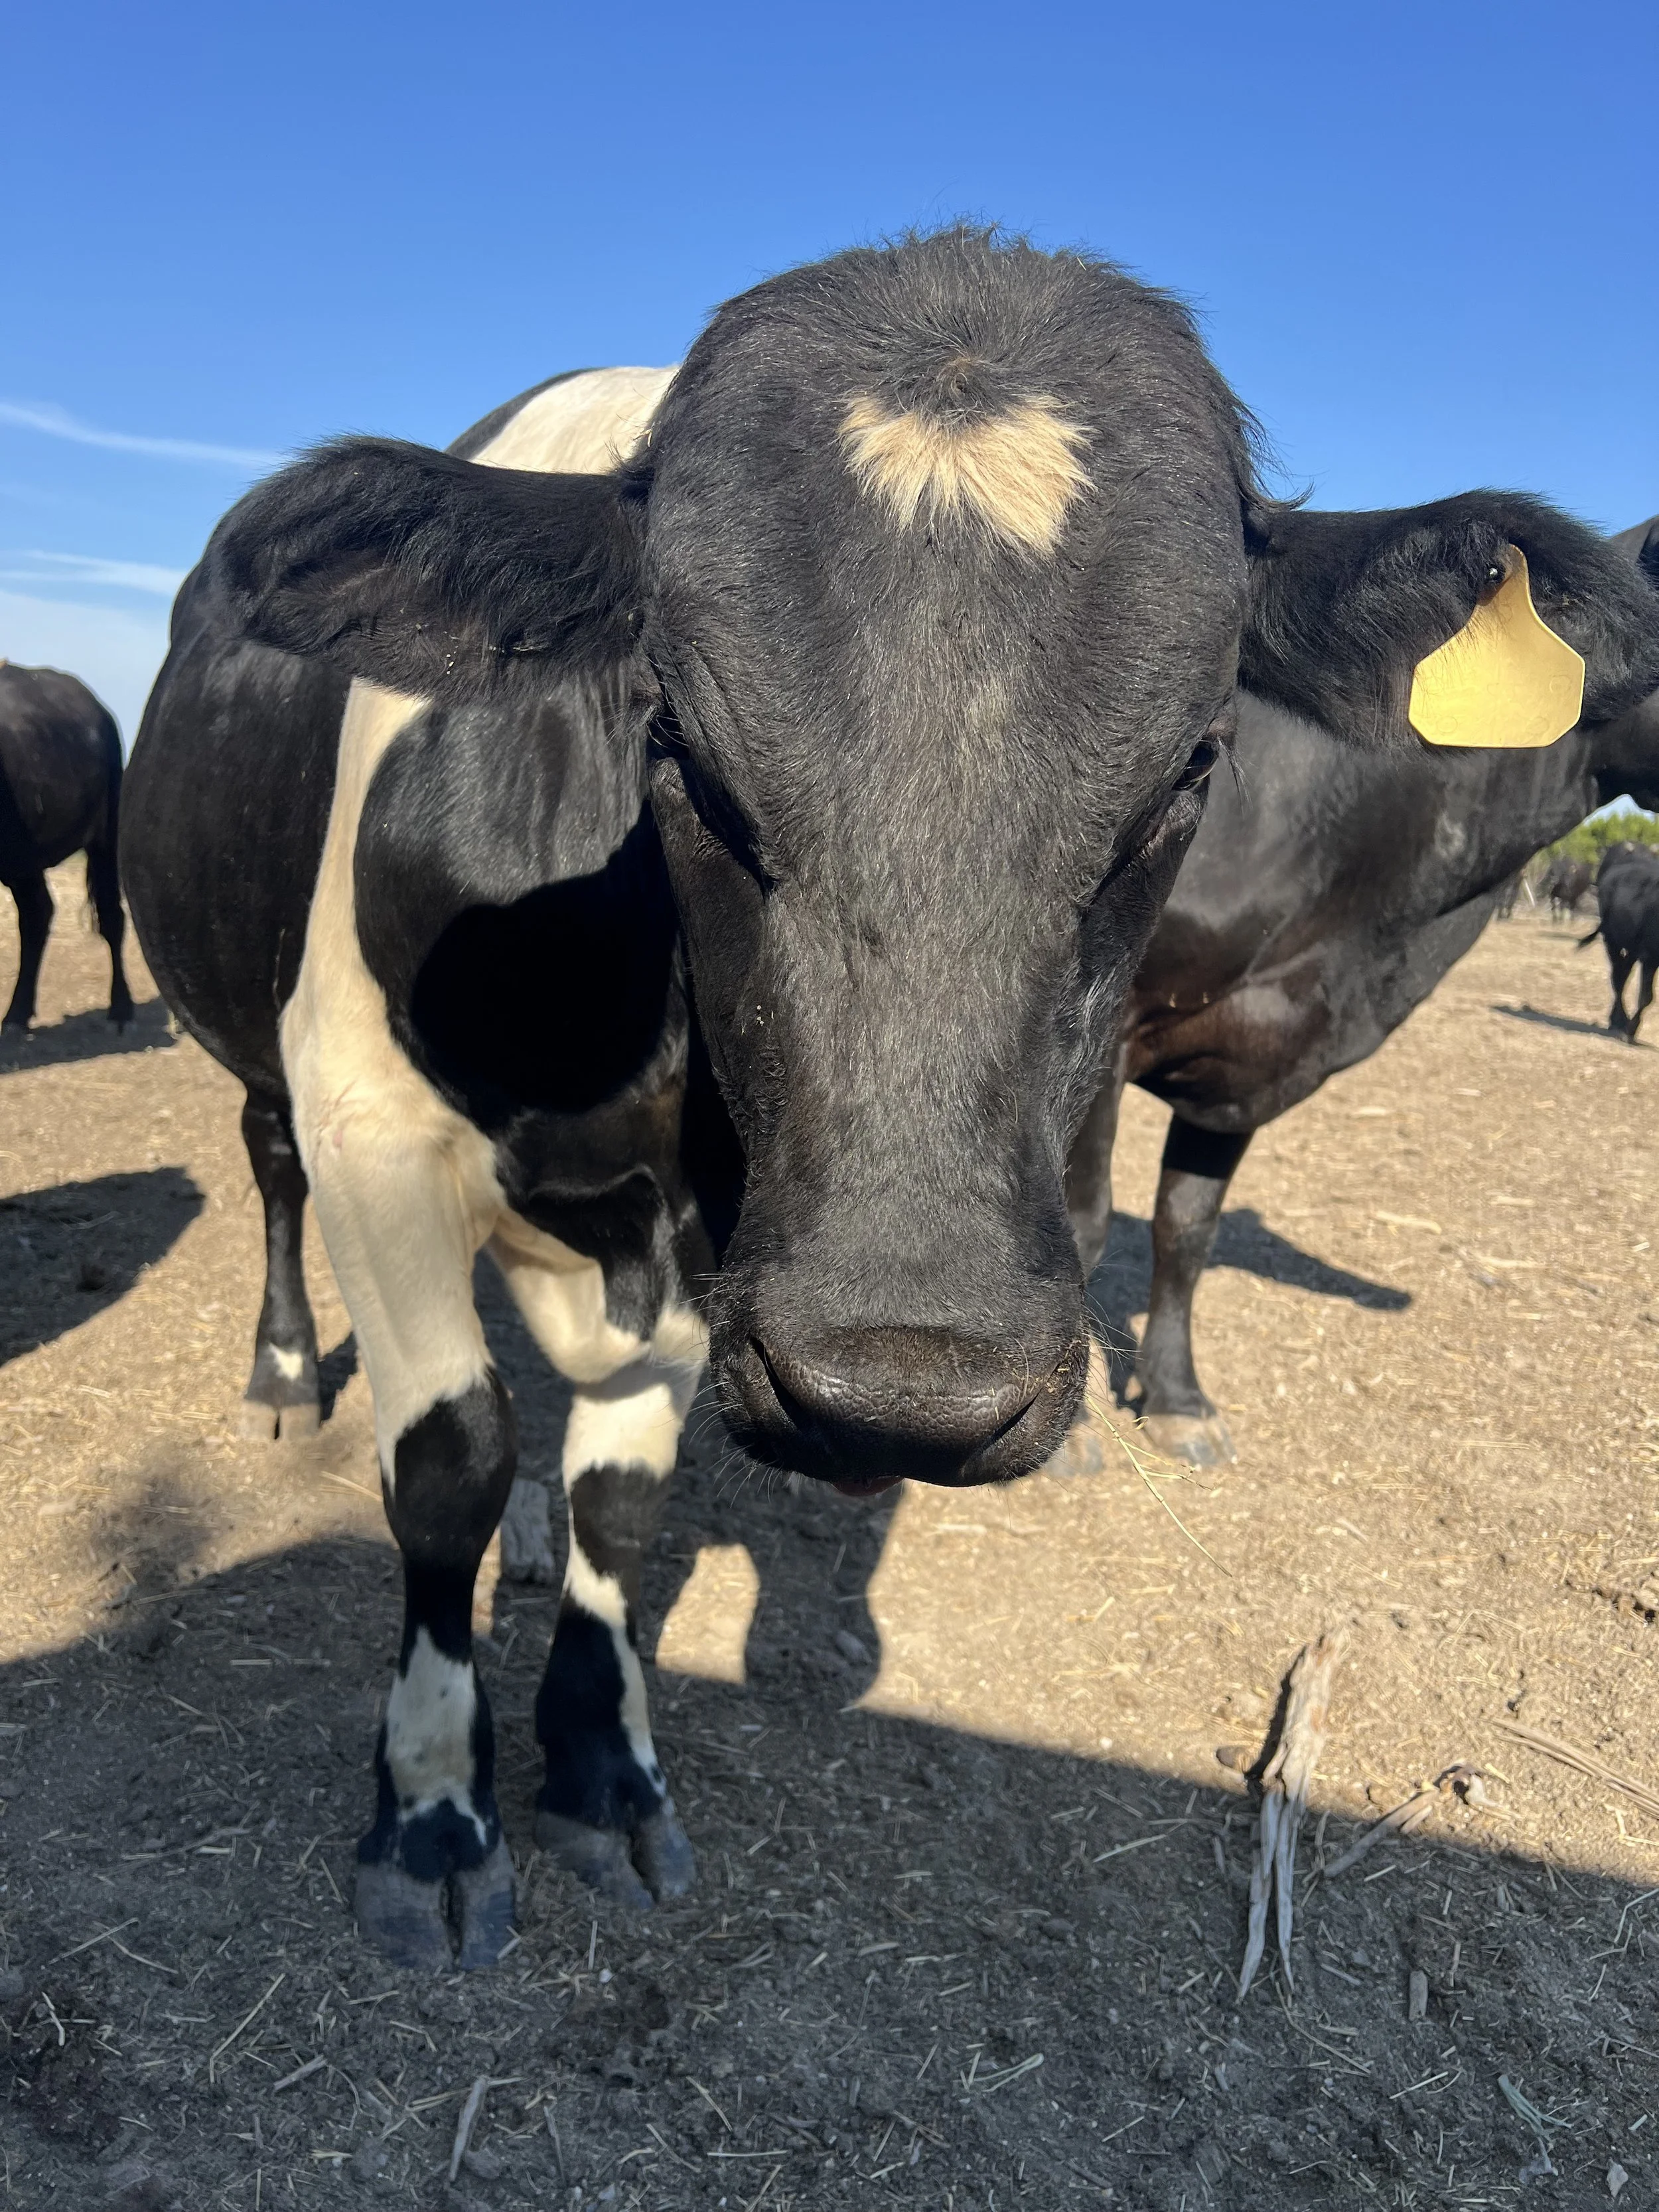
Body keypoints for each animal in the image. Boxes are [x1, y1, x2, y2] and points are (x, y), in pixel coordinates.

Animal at [0, 660, 132, 1033]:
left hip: (104, 839)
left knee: (111, 916)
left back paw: (121, 1008)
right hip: (23, 861)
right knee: (38, 914)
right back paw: (17, 1014)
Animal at [1581, 840, 1659, 1041]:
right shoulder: (1649, 958)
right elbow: (1646, 996)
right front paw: (1631, 1029)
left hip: (1629, 948)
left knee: (1622, 975)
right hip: (1611, 940)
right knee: (1618, 977)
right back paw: (1618, 1021)